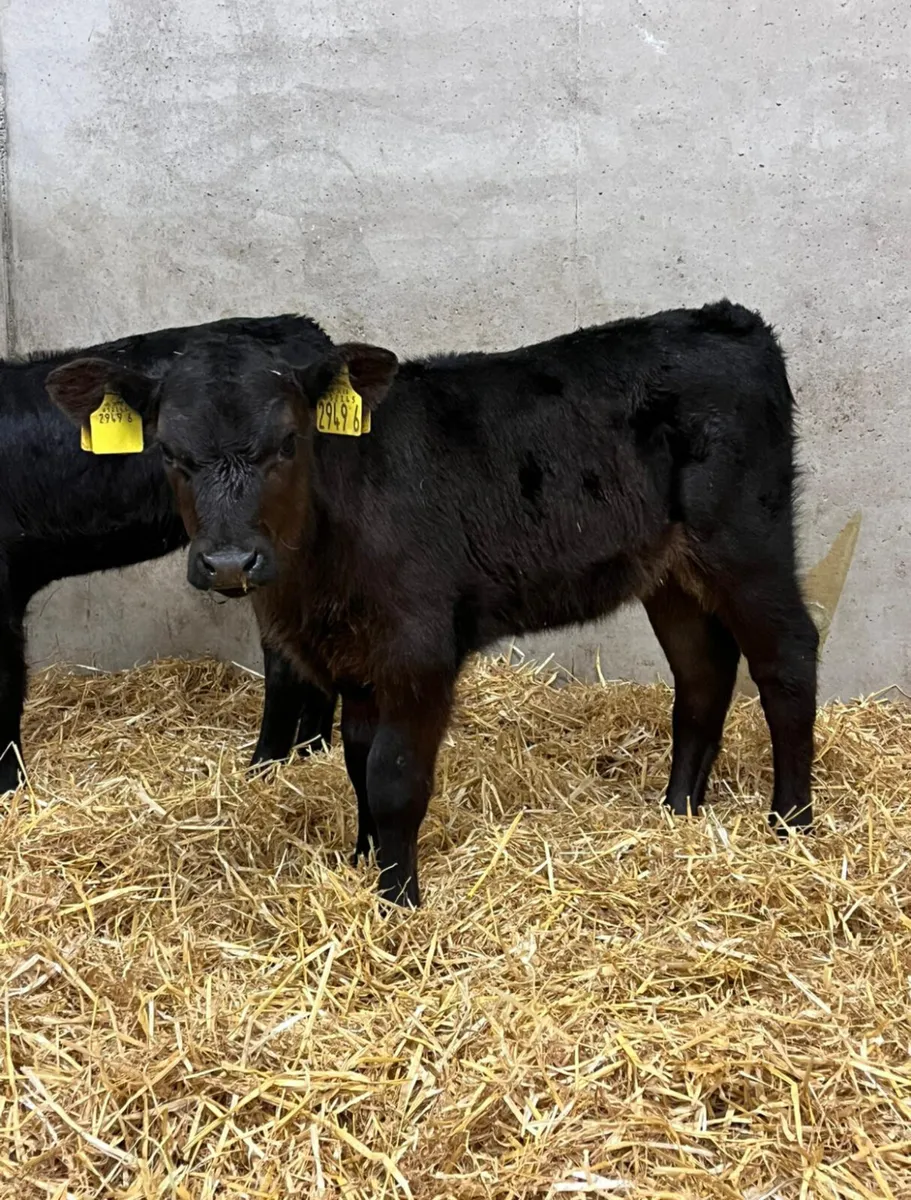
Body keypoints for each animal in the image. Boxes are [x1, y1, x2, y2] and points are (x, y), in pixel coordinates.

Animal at [46, 300, 819, 907]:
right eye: (169, 452)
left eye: (288, 443)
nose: (230, 561)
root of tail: (728, 320)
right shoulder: (353, 660)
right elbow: (357, 762)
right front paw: (361, 862)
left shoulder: (417, 651)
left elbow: (393, 776)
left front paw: (398, 900)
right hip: (670, 568)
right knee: (702, 673)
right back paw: (677, 812)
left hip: (747, 536)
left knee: (787, 658)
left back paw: (791, 823)